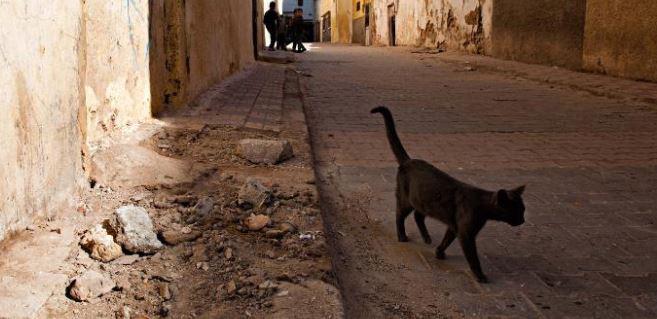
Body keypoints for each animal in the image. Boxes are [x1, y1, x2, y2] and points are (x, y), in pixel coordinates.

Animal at [372, 106, 524, 284]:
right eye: (517, 211)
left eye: (523, 210)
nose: (523, 220)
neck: (481, 205)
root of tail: (408, 161)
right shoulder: (466, 234)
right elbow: (473, 258)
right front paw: (480, 276)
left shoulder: (453, 226)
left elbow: (446, 240)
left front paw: (439, 253)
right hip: (406, 200)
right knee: (399, 215)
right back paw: (402, 236)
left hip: (423, 201)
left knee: (418, 216)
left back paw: (427, 238)